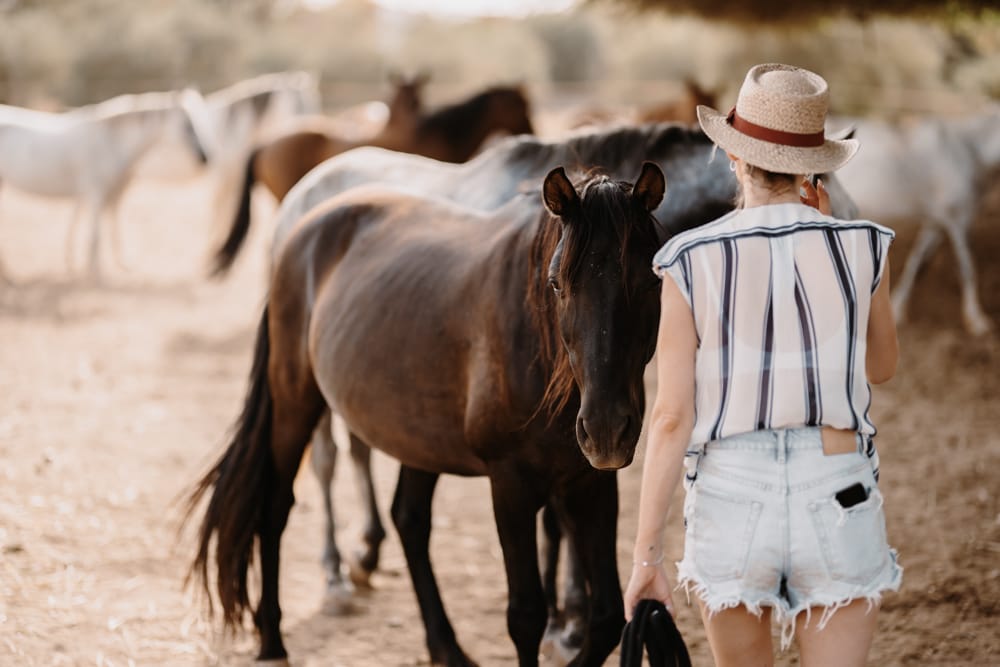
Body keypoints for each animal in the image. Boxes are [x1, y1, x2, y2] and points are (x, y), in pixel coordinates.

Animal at [0, 88, 209, 279]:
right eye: (186, 124)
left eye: (199, 122)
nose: (204, 157)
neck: (112, 142)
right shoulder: (96, 193)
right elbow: (95, 236)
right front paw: (96, 274)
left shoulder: (112, 194)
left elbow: (111, 229)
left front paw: (113, 266)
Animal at [186, 162, 668, 666]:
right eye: (556, 284)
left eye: (653, 281)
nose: (606, 429)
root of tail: (301, 229)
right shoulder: (510, 485)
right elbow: (526, 617)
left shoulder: (592, 483)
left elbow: (608, 616)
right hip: (295, 406)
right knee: (275, 509)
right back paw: (271, 640)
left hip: (417, 439)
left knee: (409, 521)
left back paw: (445, 646)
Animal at [833, 104, 1000, 335]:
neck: (969, 150)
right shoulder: (958, 220)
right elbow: (967, 268)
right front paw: (976, 320)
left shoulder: (937, 223)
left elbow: (918, 263)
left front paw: (898, 309)